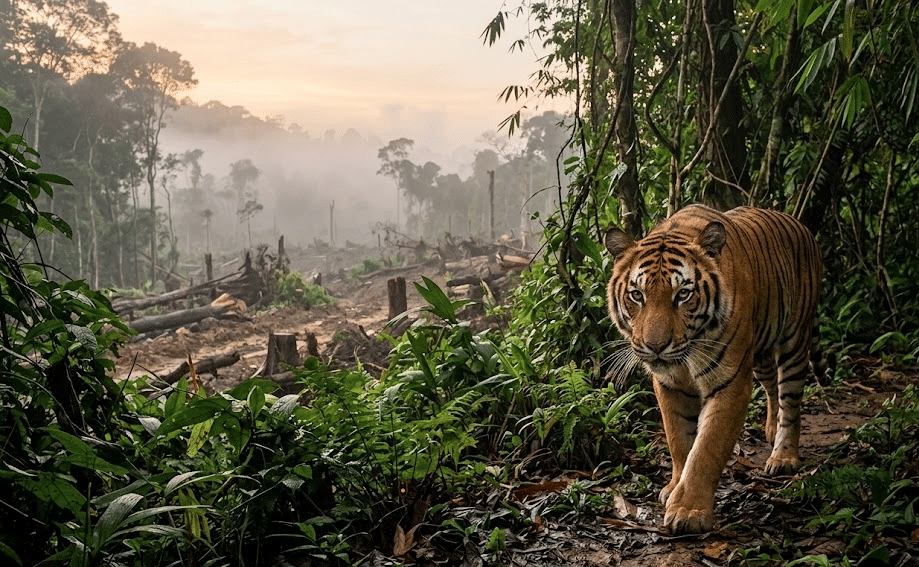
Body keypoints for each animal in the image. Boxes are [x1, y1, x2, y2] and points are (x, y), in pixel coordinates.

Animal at [603, 204, 821, 535]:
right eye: (637, 295)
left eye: (683, 294)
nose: (656, 346)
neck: (685, 358)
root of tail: (799, 223)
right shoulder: (668, 385)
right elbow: (679, 441)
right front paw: (673, 488)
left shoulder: (730, 383)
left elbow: (705, 448)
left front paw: (689, 511)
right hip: (759, 355)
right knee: (772, 387)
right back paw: (770, 430)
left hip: (794, 342)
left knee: (791, 401)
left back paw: (783, 456)